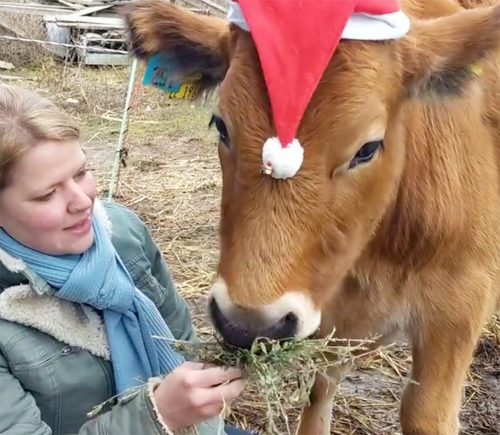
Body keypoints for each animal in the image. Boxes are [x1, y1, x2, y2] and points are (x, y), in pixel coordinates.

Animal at [124, 1, 500, 434]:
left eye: (367, 148)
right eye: (220, 125)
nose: (249, 323)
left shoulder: (460, 306)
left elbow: (425, 414)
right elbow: (320, 388)